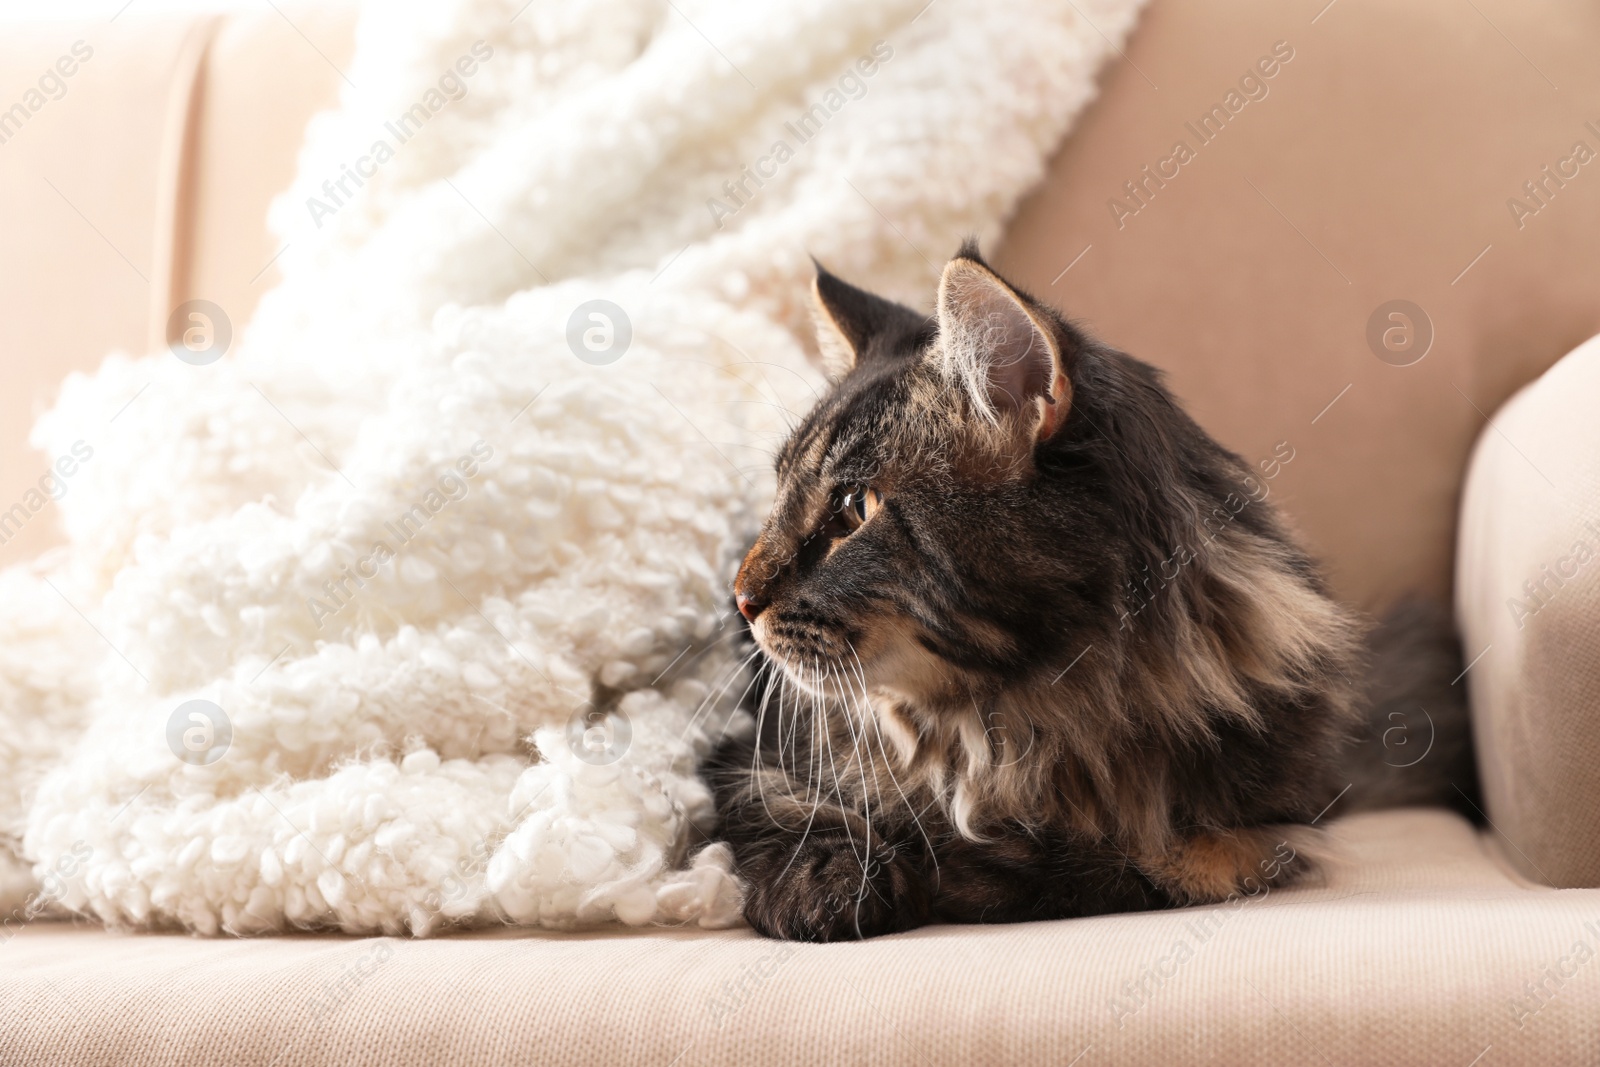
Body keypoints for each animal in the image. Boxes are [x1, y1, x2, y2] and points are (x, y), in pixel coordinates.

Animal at [713, 244, 1472, 940]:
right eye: (778, 499)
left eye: (852, 511)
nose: (741, 599)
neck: (1015, 716)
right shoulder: (748, 761)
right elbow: (800, 814)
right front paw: (833, 889)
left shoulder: (1266, 833)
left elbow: (1137, 865)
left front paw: (970, 869)